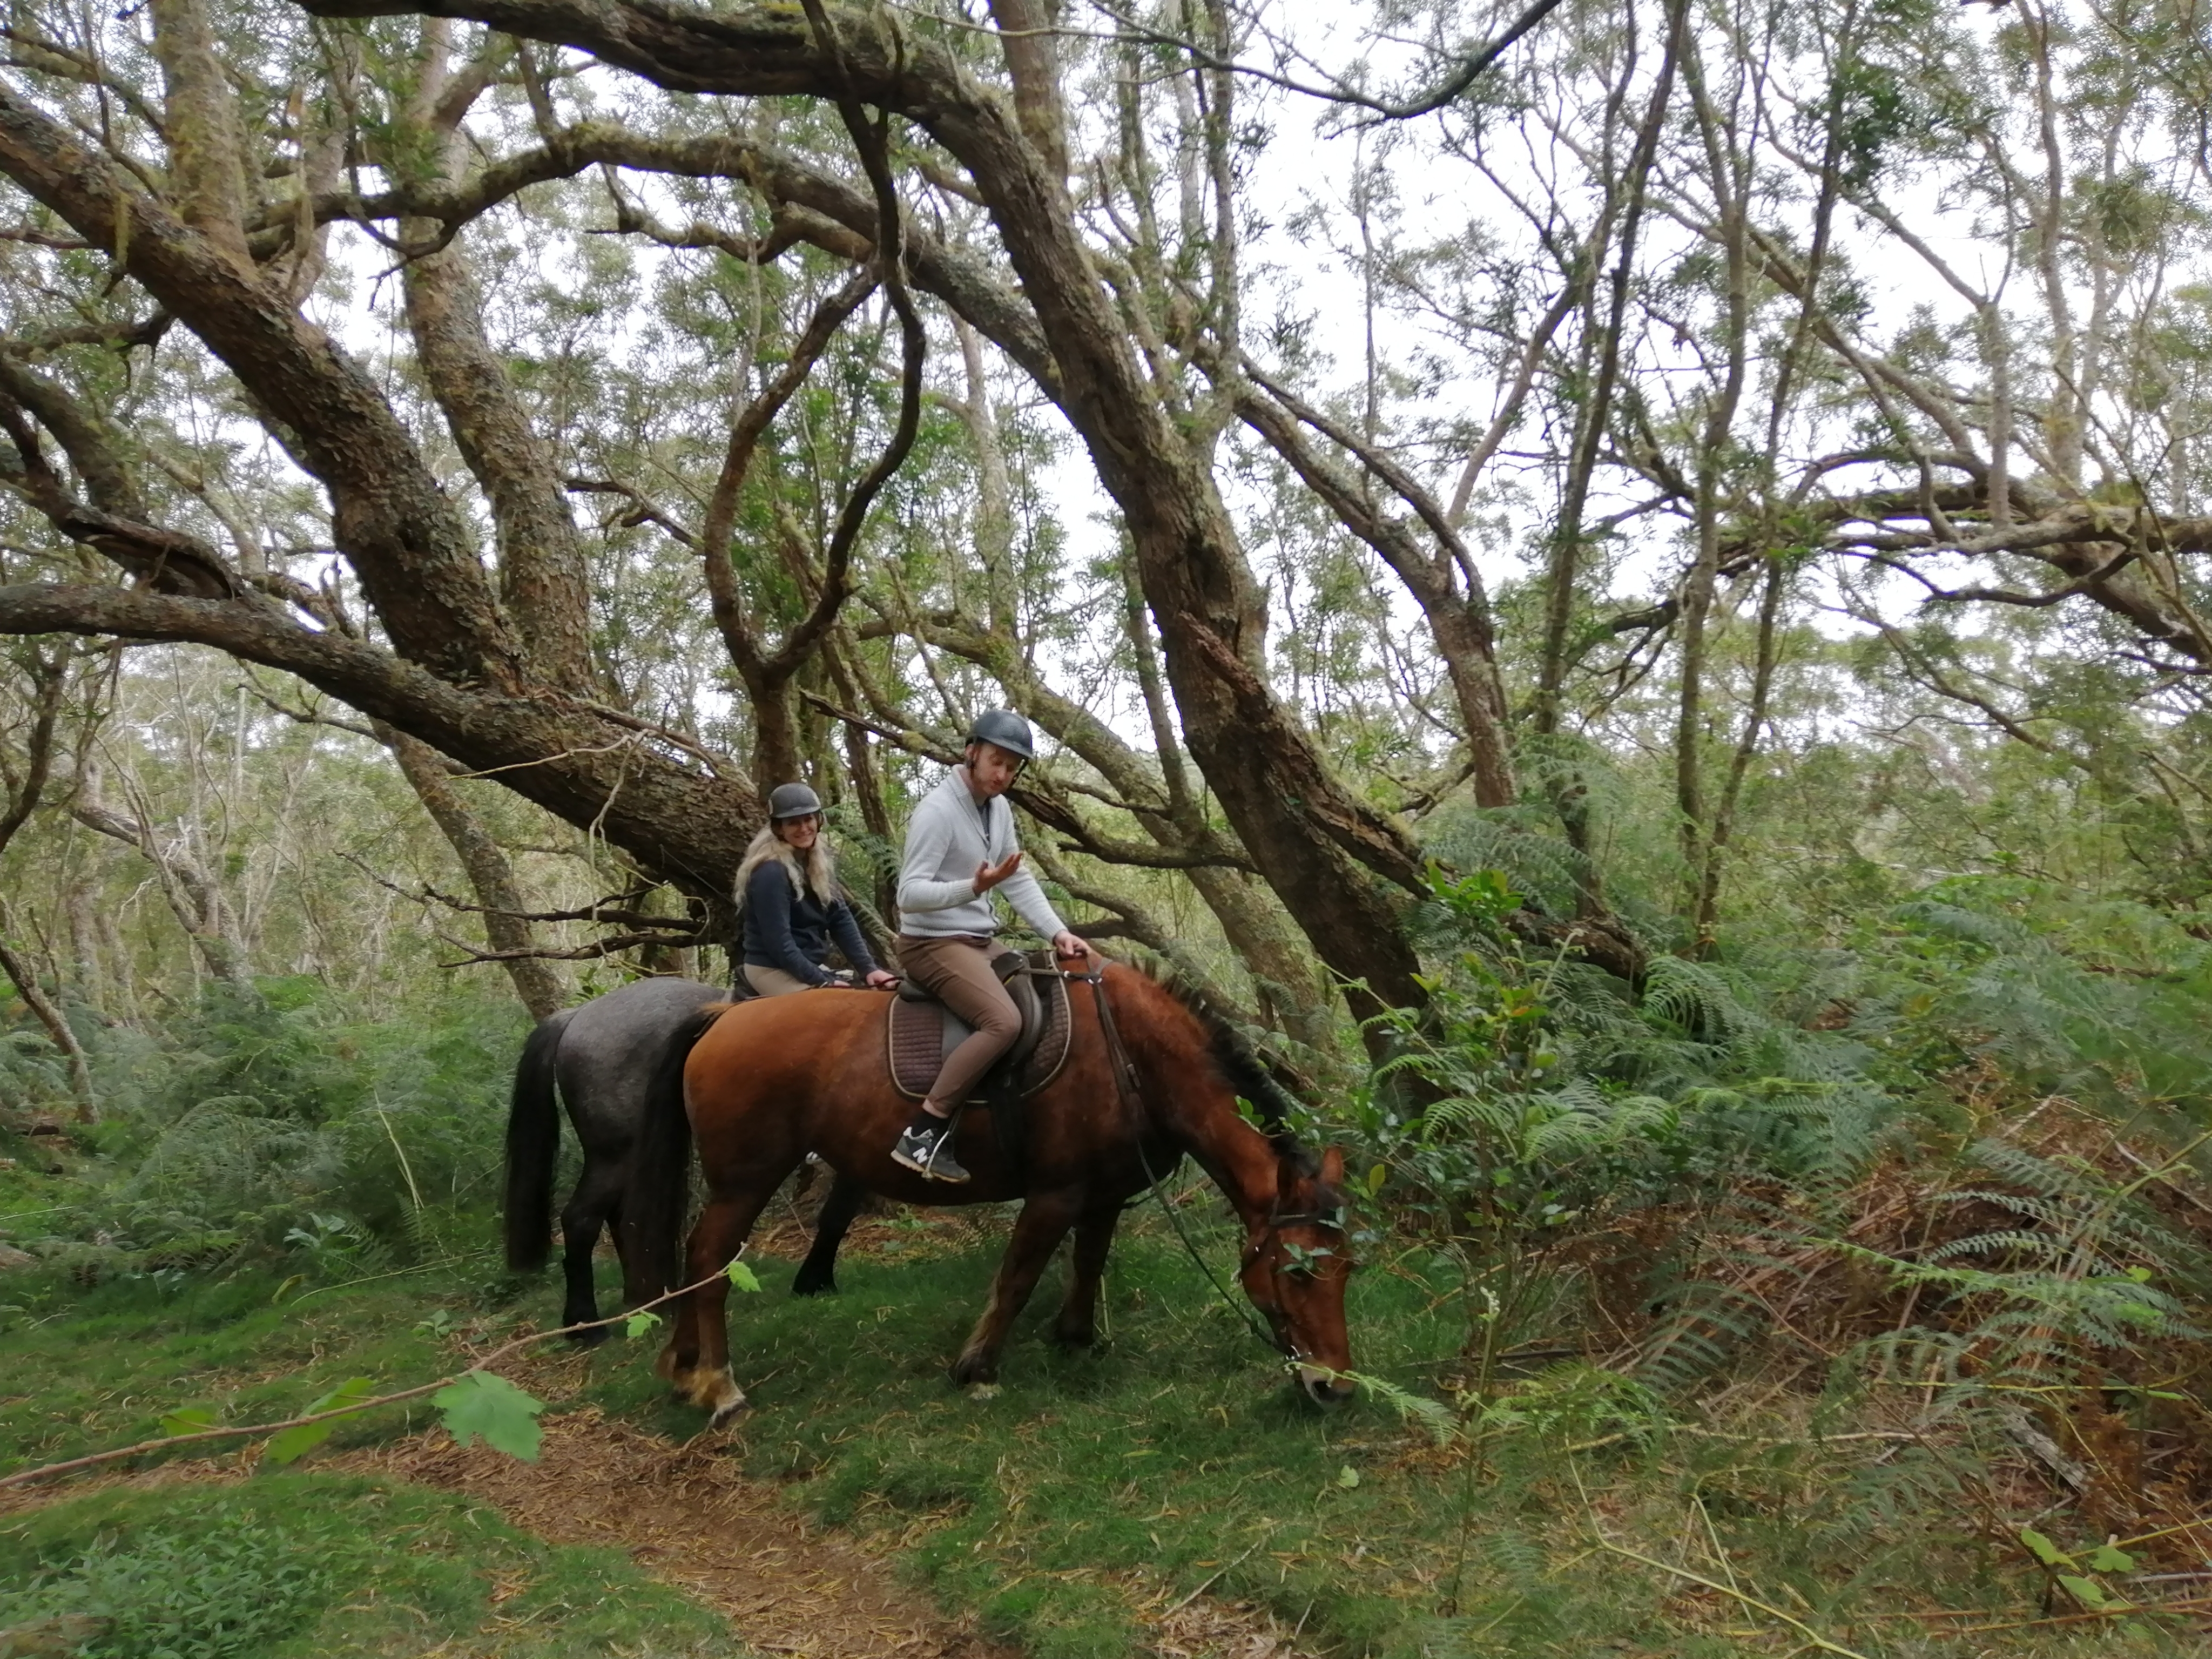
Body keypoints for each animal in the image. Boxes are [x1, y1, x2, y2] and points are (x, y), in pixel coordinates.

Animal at [622, 959, 1357, 1426]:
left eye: (1348, 1270)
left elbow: (1088, 1262)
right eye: (1297, 1272)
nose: (1334, 1386)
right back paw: (719, 1384)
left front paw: (1075, 1338)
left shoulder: (1104, 1196)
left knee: (697, 1258)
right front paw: (976, 1367)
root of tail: (721, 1019)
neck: (1131, 1057)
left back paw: (685, 1369)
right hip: (746, 1178)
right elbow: (1018, 1277)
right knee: (709, 1258)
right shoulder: (1056, 1194)